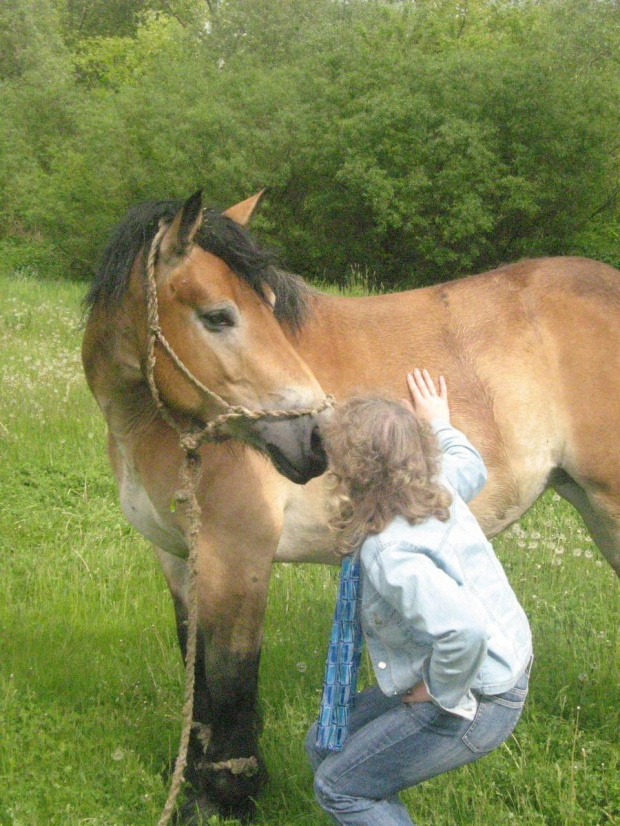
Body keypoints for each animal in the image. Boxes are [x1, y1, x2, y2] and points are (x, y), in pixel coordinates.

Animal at [82, 192, 620, 816]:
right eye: (218, 316)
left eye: (270, 308)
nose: (315, 438)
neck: (156, 425)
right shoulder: (176, 558)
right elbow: (198, 677)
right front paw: (195, 784)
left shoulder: (235, 558)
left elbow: (231, 677)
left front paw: (230, 795)